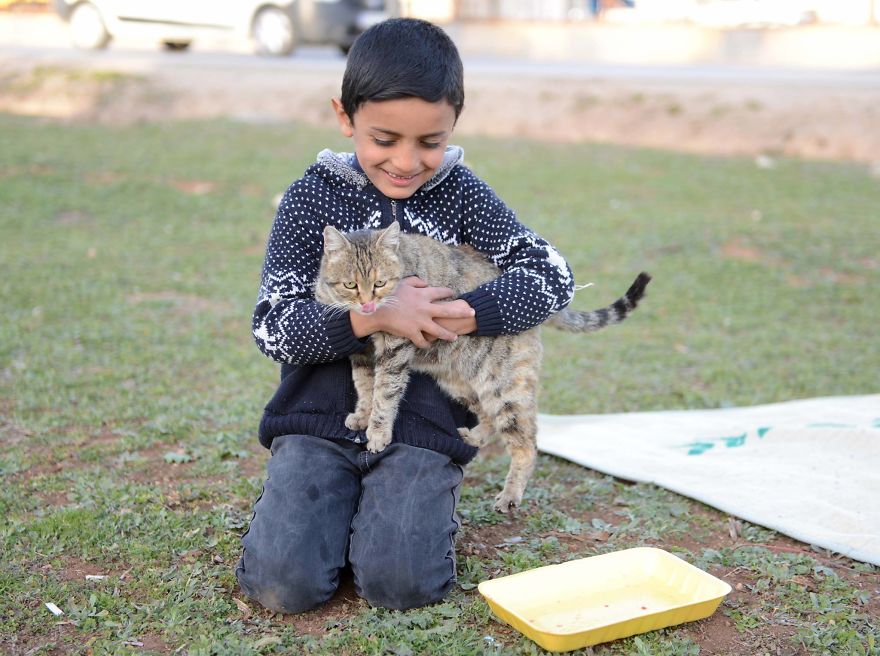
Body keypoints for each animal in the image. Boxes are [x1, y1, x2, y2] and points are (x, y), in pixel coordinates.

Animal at [312, 222, 648, 512]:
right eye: (350, 285)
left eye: (380, 283)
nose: (368, 305)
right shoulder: (360, 349)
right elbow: (364, 385)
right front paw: (362, 415)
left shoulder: (395, 347)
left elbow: (385, 392)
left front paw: (378, 432)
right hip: (461, 381)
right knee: (487, 417)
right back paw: (473, 437)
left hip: (504, 388)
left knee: (527, 443)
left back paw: (510, 495)